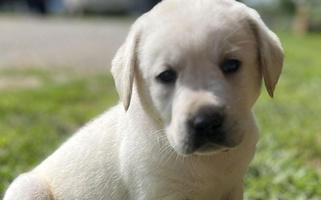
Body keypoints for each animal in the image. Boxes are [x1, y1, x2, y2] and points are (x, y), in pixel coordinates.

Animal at [3, 0, 282, 200]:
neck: (207, 161)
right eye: (166, 76)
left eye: (232, 64)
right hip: (28, 188)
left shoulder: (233, 186)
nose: (206, 121)